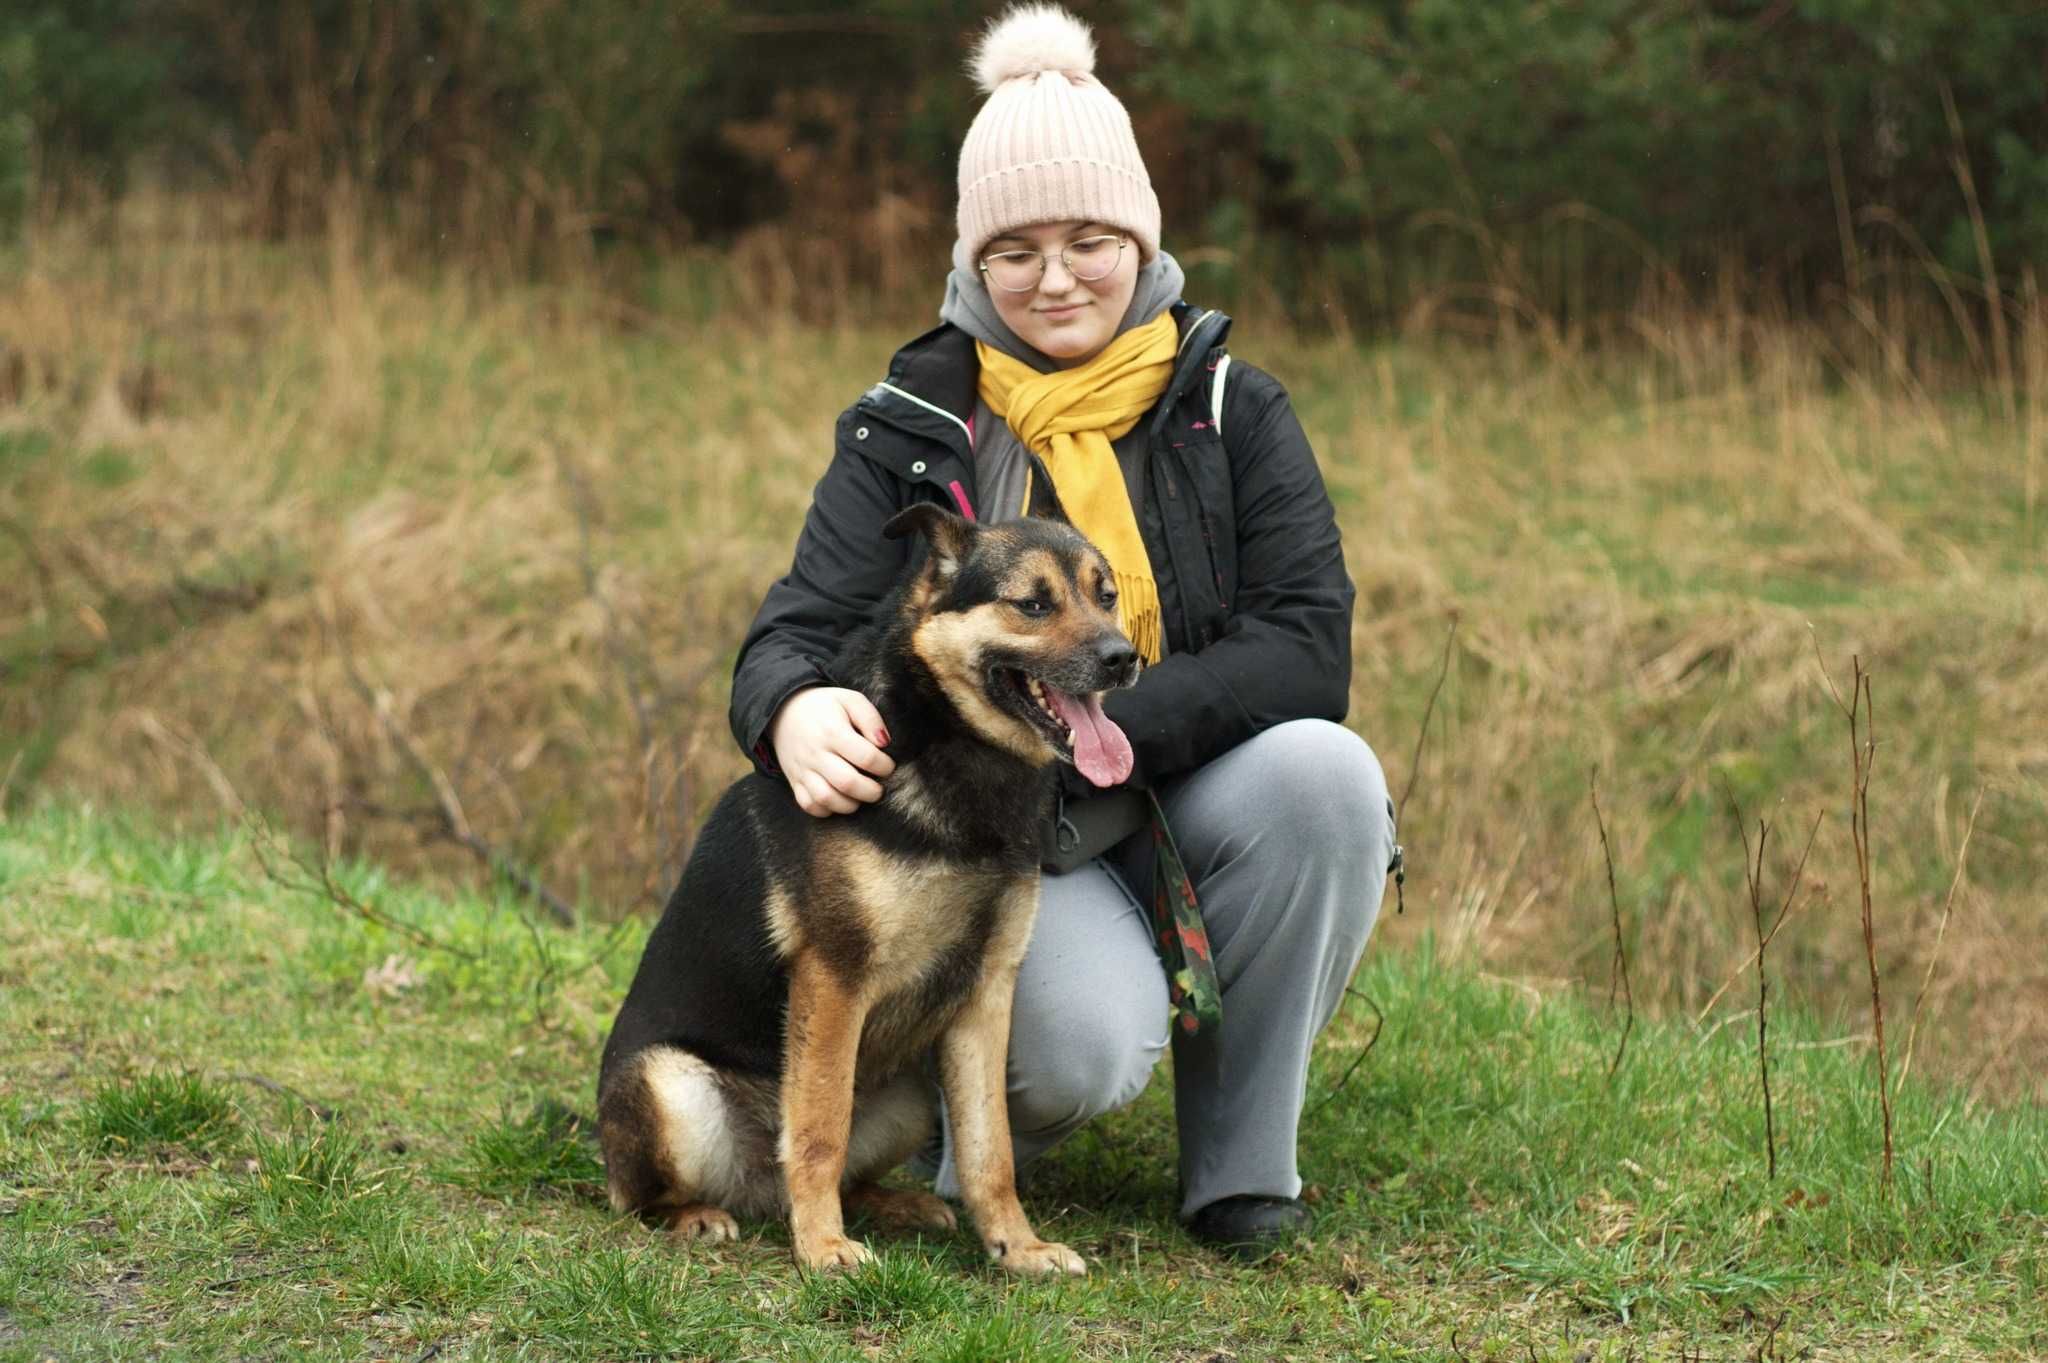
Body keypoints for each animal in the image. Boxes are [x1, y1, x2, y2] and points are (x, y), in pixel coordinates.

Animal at [598, 503, 1146, 1268]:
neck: (953, 750)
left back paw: (896, 1206)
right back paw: (703, 1215)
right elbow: (818, 1129)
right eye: (1033, 604)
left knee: (849, 1170)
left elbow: (990, 1149)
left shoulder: (986, 994)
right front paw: (823, 1248)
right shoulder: (835, 976)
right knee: (643, 1197)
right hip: (670, 1085)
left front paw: (1017, 1247)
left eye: (1106, 596)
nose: (1123, 659)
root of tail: (755, 1189)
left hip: (908, 1095)